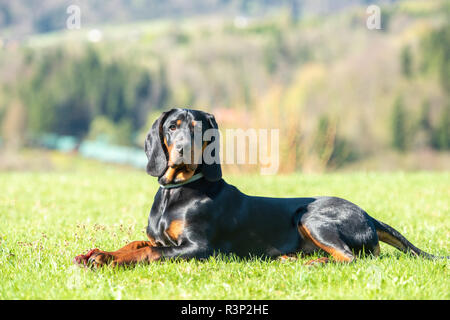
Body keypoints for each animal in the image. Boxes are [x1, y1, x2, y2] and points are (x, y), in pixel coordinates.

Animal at [74, 109, 442, 266]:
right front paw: (97, 254)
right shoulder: (160, 237)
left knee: (352, 259)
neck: (176, 193)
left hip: (310, 216)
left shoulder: (198, 248)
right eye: (172, 127)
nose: (182, 149)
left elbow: (149, 252)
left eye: (198, 128)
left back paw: (313, 264)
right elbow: (134, 244)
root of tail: (369, 216)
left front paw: (105, 259)